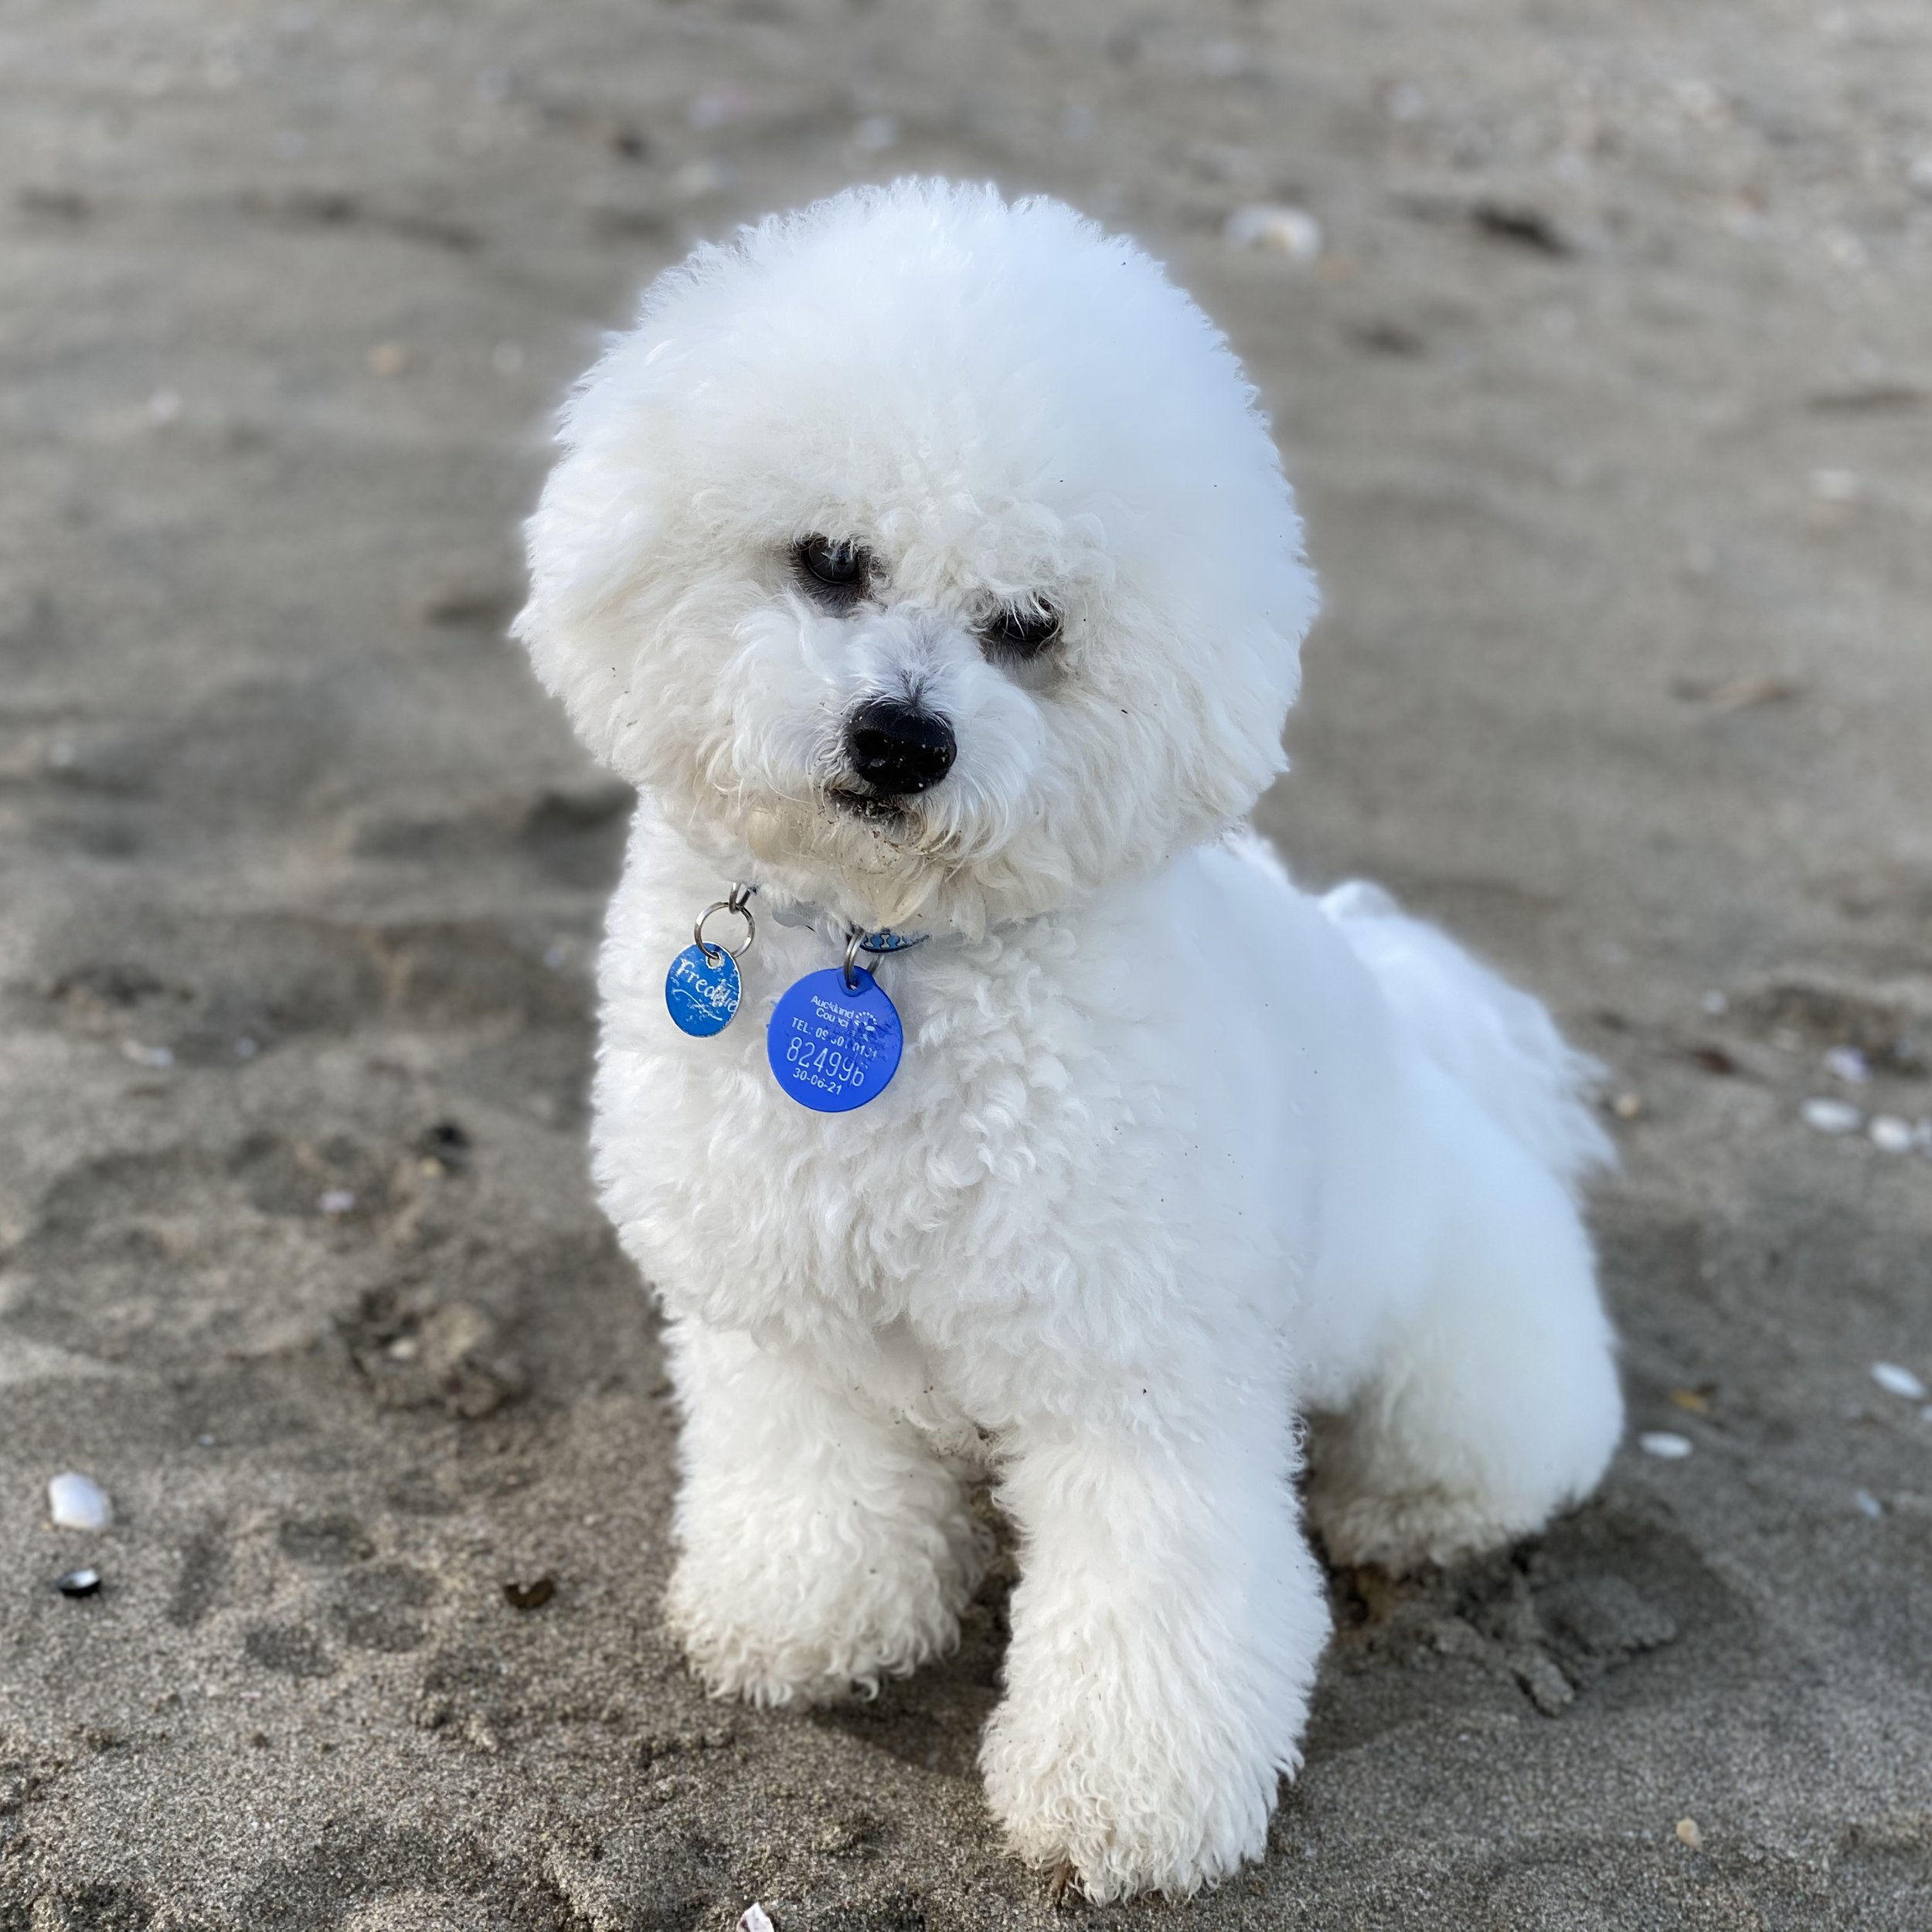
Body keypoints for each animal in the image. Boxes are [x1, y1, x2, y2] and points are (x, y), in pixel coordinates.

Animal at [516, 178, 1622, 1901]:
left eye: (1026, 626)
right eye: (829, 561)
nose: (900, 738)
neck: (883, 958)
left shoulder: (1139, 1375)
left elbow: (1151, 1596)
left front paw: (1123, 1797)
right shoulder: (786, 1308)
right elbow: (813, 1474)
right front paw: (801, 1612)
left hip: (1468, 1368)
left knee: (1473, 1458)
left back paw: (1405, 1515)